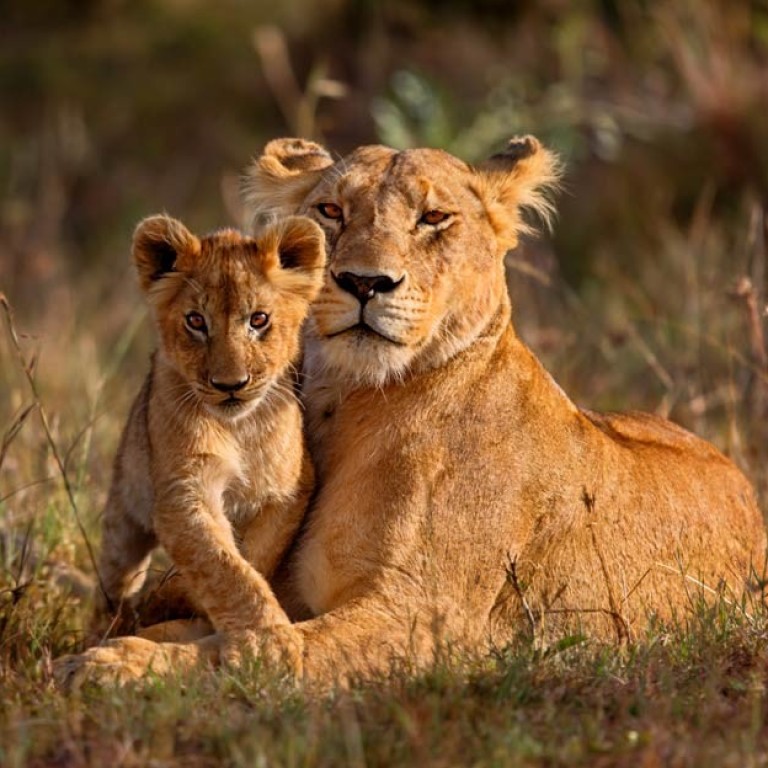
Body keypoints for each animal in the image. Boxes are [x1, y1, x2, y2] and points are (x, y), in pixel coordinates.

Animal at [89, 213, 325, 652]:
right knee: (115, 580)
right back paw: (106, 628)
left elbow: (253, 556)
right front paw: (267, 642)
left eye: (258, 320)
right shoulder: (184, 492)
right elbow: (223, 566)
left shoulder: (290, 489)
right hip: (123, 513)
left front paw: (177, 598)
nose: (230, 384)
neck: (239, 427)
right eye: (196, 321)